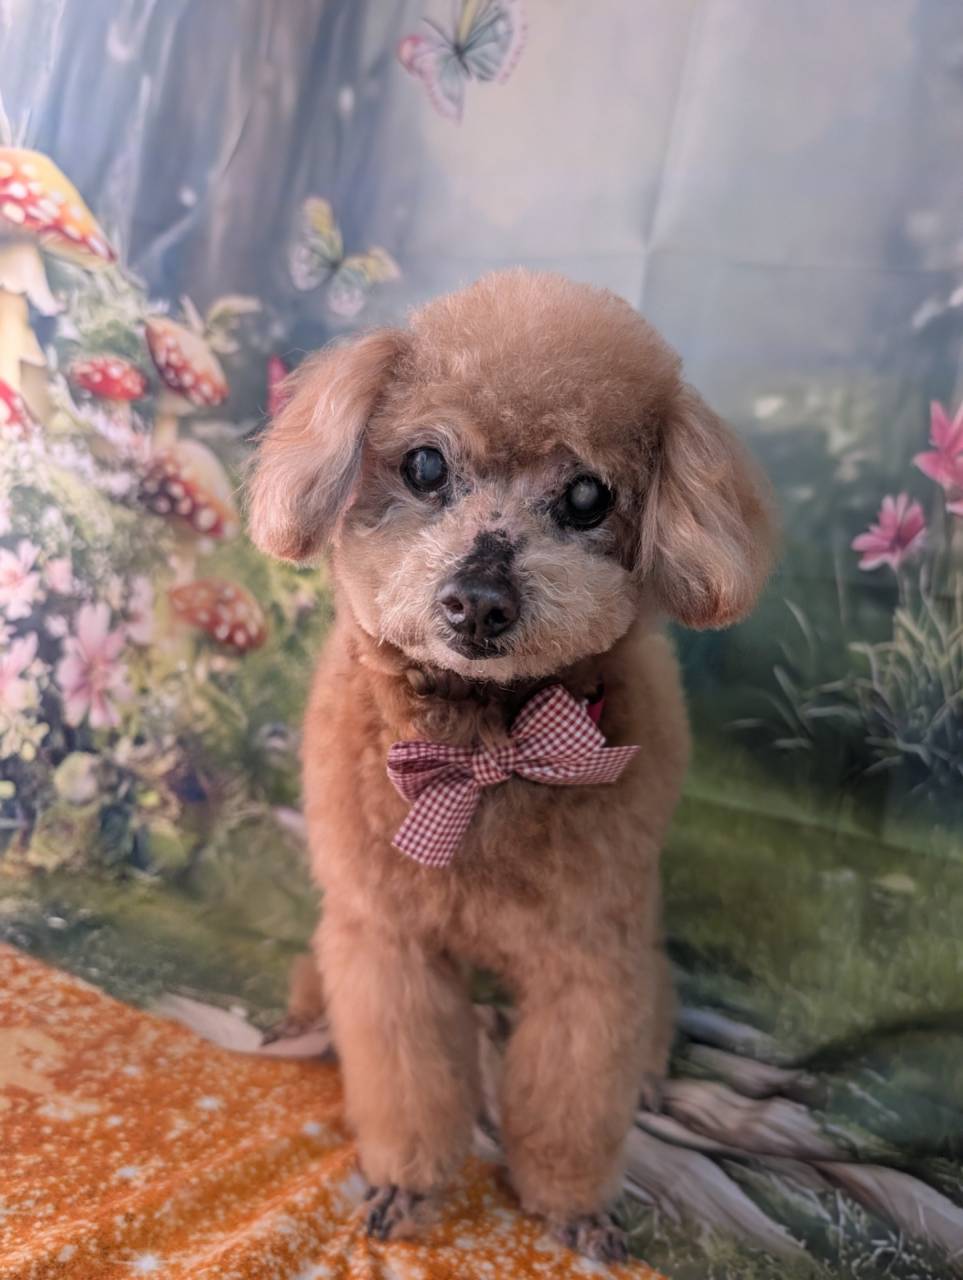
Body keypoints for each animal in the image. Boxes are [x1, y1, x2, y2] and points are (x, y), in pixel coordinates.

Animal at [247, 269, 775, 1261]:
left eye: (587, 496)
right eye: (424, 466)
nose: (478, 601)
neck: (482, 750)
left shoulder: (588, 958)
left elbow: (573, 1095)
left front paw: (568, 1205)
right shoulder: (388, 941)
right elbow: (408, 1081)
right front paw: (407, 1184)